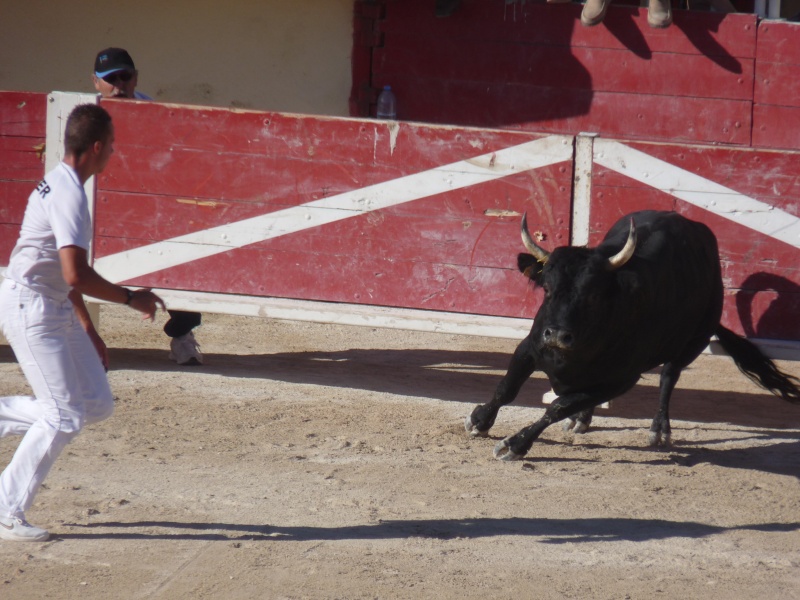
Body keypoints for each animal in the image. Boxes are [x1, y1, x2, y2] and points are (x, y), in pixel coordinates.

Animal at [466, 209, 796, 462]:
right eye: (546, 288)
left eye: (594, 295)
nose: (557, 335)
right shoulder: (531, 348)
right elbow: (506, 388)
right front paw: (479, 420)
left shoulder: (621, 380)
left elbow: (557, 407)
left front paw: (515, 445)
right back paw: (582, 420)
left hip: (694, 341)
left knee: (668, 377)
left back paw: (659, 429)